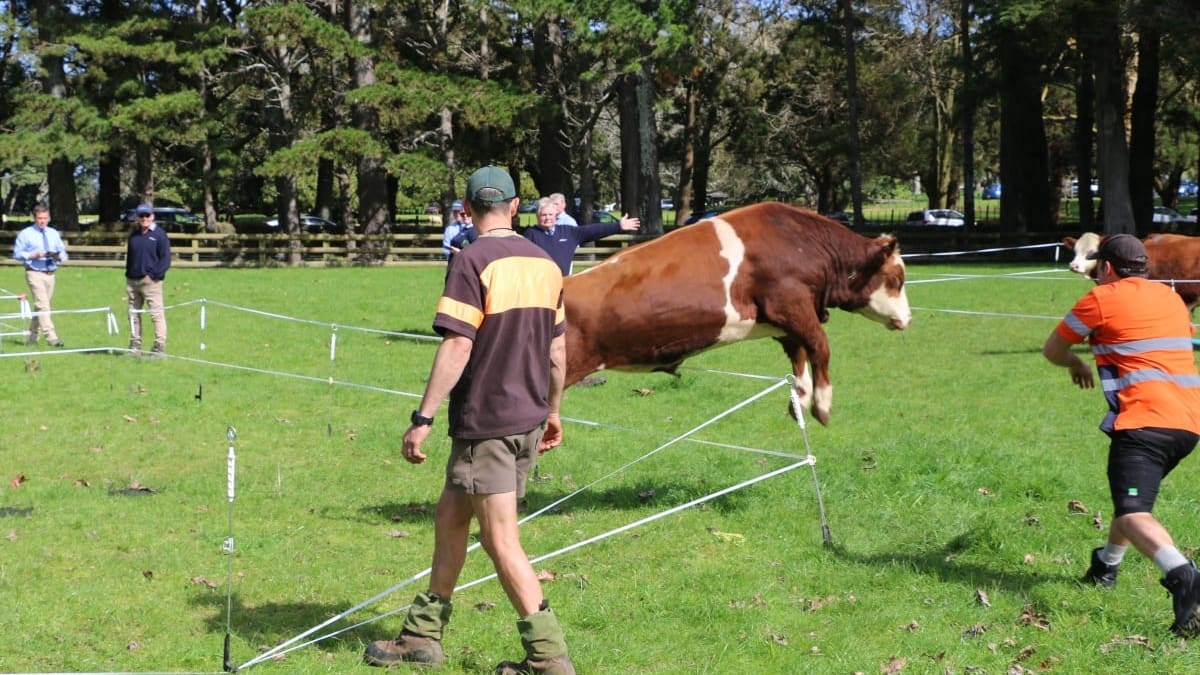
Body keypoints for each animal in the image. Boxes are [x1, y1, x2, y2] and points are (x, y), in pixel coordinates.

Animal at [562, 201, 912, 425]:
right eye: (897, 278)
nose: (909, 318)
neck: (803, 242)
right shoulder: (791, 304)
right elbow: (820, 346)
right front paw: (822, 406)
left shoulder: (784, 322)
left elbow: (799, 356)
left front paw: (799, 402)